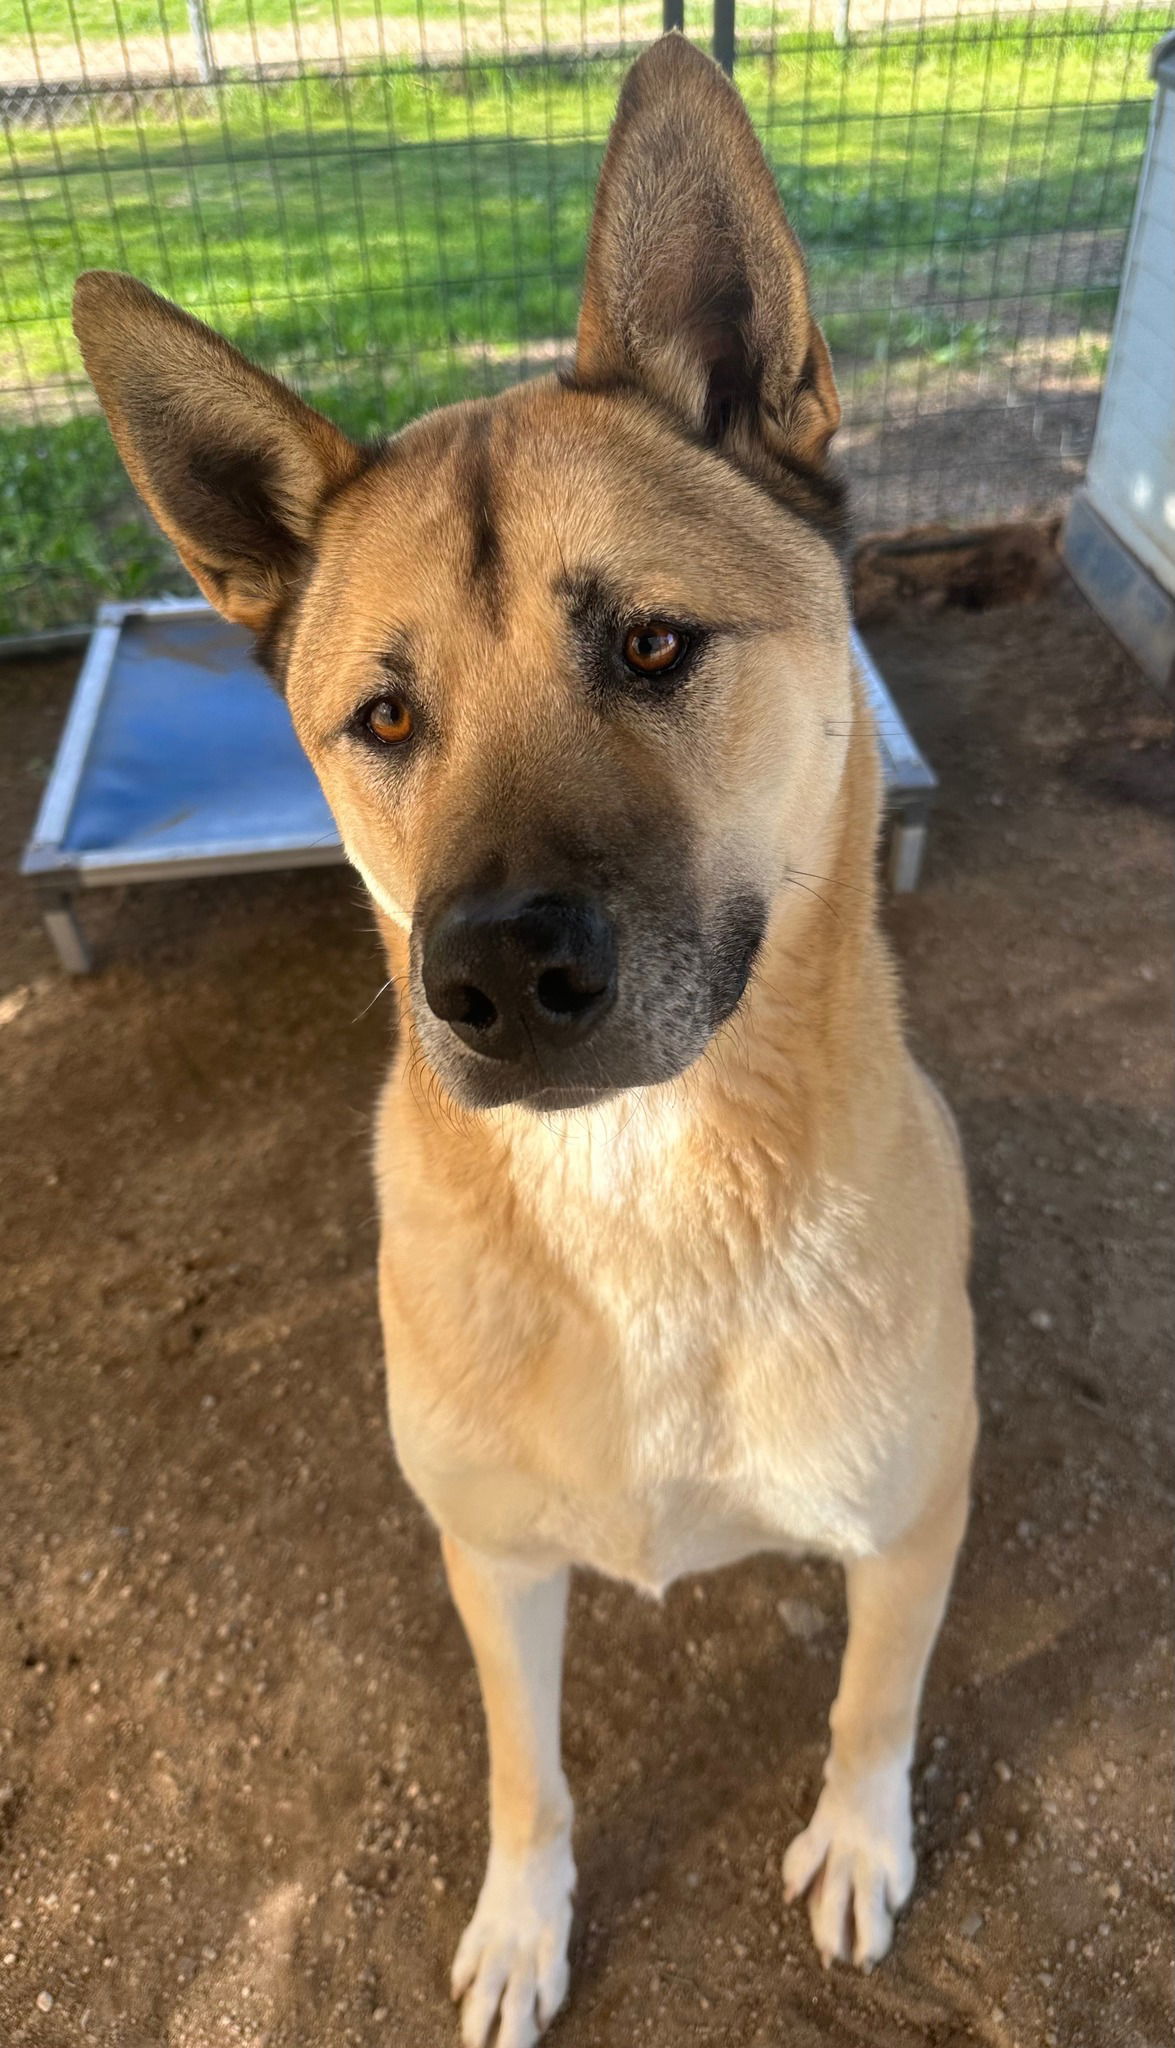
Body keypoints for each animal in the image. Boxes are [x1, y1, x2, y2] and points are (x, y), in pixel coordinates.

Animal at [69, 32, 982, 2048]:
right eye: (384, 717)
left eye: (650, 646)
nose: (486, 980)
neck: (641, 1207)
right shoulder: (489, 1561)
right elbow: (525, 1771)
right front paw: (518, 1923)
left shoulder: (910, 1521)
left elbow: (871, 1702)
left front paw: (858, 1838)